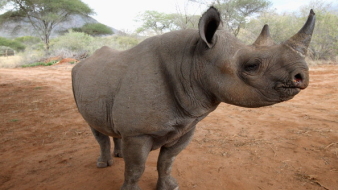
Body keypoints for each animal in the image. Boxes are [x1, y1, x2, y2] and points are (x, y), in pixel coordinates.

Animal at [72, 6, 316, 189]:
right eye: (252, 66)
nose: (301, 76)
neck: (192, 61)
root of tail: (82, 61)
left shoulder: (187, 124)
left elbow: (167, 161)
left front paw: (169, 186)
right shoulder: (138, 132)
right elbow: (135, 170)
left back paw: (118, 154)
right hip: (78, 77)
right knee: (95, 127)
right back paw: (104, 164)